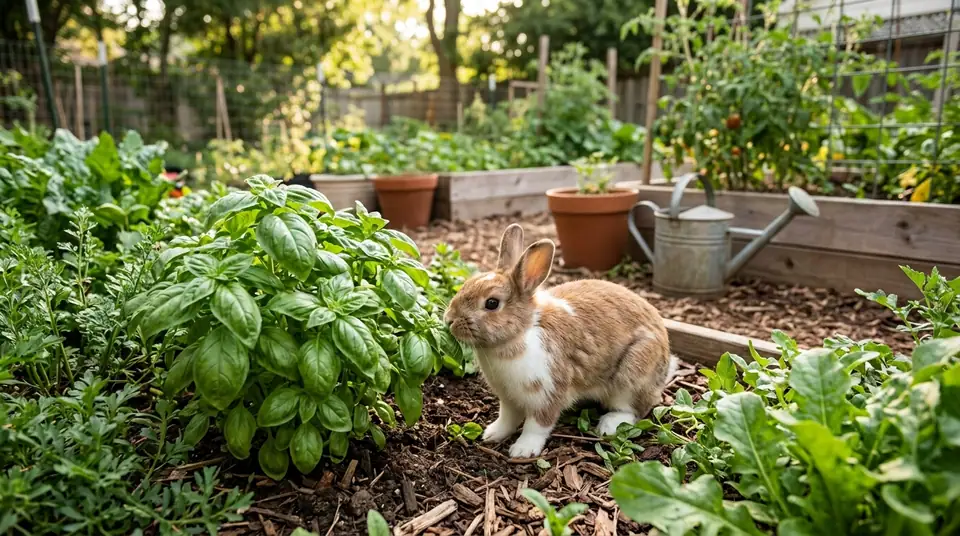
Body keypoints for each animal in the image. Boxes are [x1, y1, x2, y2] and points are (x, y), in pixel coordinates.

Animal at [444, 223, 677, 458]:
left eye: (491, 303)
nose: (449, 320)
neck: (521, 332)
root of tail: (666, 364)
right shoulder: (508, 398)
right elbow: (507, 419)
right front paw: (491, 434)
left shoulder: (547, 394)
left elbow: (536, 426)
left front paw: (522, 450)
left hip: (631, 375)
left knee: (633, 409)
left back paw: (608, 425)